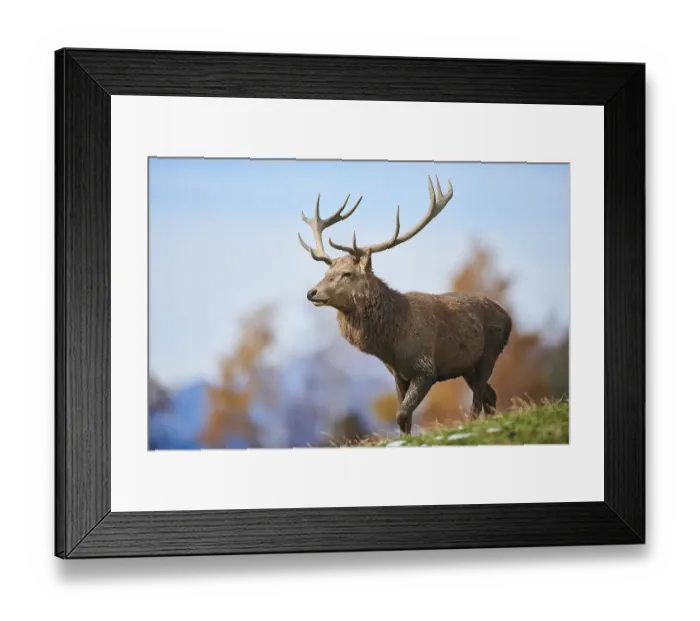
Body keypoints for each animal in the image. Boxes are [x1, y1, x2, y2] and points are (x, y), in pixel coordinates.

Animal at [298, 176, 512, 436]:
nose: (312, 292)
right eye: (326, 272)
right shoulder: (398, 374)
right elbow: (404, 421)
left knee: (478, 400)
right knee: (491, 395)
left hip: (489, 352)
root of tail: (509, 317)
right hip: (467, 366)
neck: (391, 342)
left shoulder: (426, 369)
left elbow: (401, 415)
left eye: (347, 273)